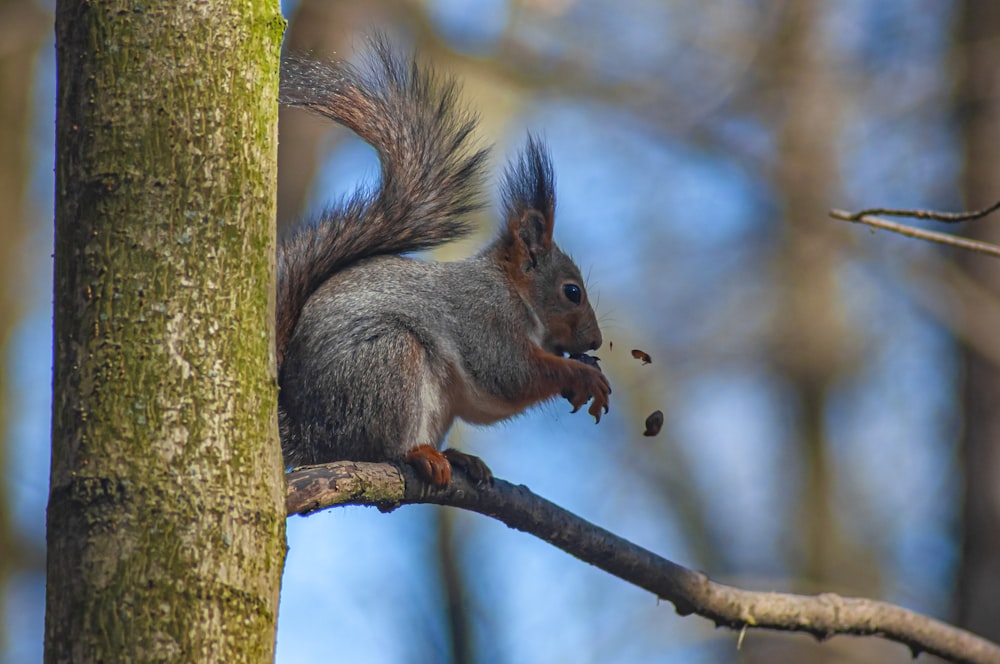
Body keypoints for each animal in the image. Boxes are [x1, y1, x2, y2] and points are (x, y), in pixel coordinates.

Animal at [278, 40, 612, 488]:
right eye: (572, 292)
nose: (595, 342)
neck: (510, 288)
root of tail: (307, 435)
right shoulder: (484, 317)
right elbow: (509, 374)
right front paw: (582, 376)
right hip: (386, 362)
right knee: (375, 446)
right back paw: (417, 453)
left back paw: (456, 457)